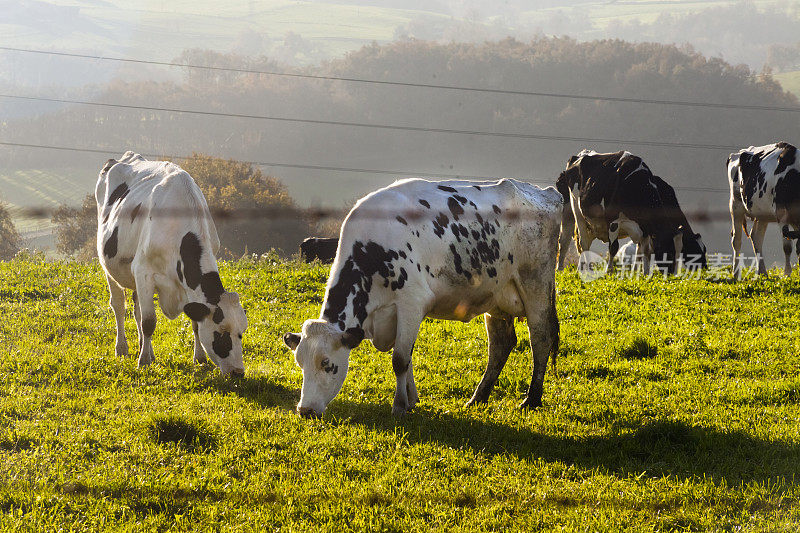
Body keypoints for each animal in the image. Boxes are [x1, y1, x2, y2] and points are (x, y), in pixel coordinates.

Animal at [96, 150, 247, 374]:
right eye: (221, 333)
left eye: (241, 333)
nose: (238, 372)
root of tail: (125, 157)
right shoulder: (143, 271)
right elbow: (149, 321)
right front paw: (143, 362)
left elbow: (194, 322)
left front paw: (199, 358)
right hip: (110, 267)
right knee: (119, 306)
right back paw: (122, 348)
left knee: (137, 309)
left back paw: (145, 348)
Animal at [282, 177, 564, 418]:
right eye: (299, 363)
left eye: (327, 363)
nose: (305, 410)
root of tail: (547, 193)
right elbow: (407, 358)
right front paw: (412, 400)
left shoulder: (412, 302)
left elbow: (399, 359)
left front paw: (399, 406)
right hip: (496, 297)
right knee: (501, 344)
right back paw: (478, 398)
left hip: (536, 283)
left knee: (540, 338)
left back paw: (531, 400)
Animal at [556, 150, 708, 274]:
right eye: (669, 253)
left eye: (704, 250)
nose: (671, 275)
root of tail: (580, 155)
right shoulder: (613, 220)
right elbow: (614, 247)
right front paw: (609, 271)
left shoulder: (645, 227)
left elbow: (644, 252)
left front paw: (644, 274)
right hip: (575, 211)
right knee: (578, 242)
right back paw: (578, 269)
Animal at [728, 140, 796, 278]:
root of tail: (736, 154)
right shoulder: (781, 214)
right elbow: (787, 247)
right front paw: (787, 273)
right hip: (735, 205)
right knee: (736, 240)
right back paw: (736, 274)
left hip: (762, 213)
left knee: (756, 237)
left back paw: (762, 272)